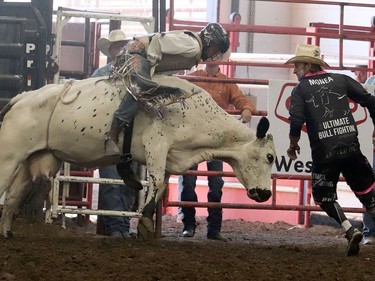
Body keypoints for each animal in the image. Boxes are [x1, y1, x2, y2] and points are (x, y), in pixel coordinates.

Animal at [0, 74, 276, 238]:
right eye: (270, 157)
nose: (265, 194)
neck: (196, 113)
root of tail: (22, 98)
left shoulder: (169, 156)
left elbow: (161, 186)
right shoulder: (157, 144)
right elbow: (156, 181)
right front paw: (143, 223)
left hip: (29, 160)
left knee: (12, 197)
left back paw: (7, 232)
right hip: (9, 155)